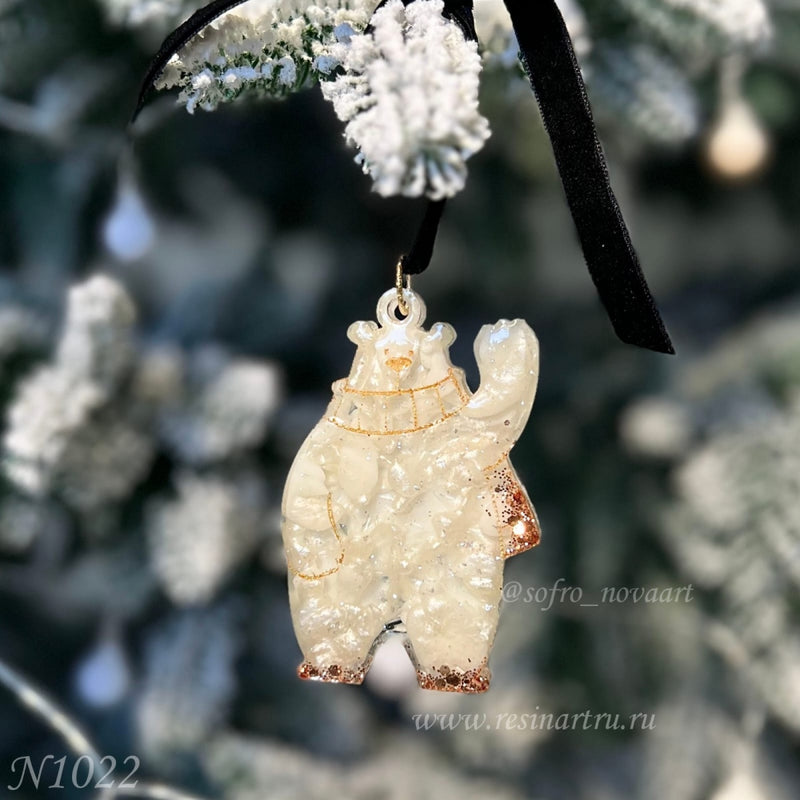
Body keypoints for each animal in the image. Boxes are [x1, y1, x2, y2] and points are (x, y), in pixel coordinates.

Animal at [281, 288, 540, 693]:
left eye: (420, 348)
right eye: (383, 347)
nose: (399, 360)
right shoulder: (324, 444)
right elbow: (306, 483)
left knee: (455, 616)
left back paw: (453, 675)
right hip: (327, 601)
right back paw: (331, 668)